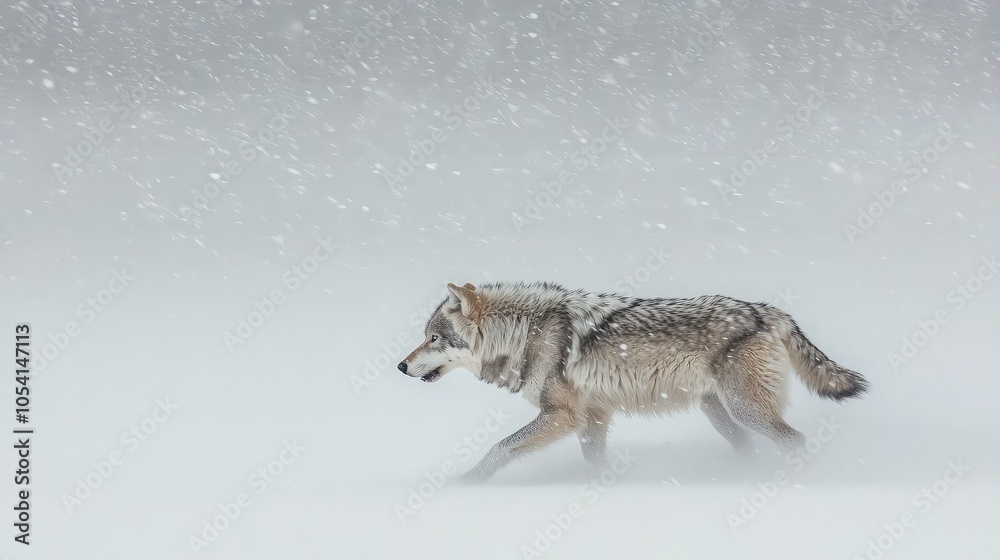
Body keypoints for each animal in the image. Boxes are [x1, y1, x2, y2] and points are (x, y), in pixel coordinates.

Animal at [398, 282, 868, 481]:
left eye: (433, 338)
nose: (401, 367)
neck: (523, 335)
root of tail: (768, 311)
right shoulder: (593, 417)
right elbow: (595, 463)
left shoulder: (564, 416)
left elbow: (498, 448)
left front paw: (465, 486)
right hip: (722, 414)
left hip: (745, 410)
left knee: (795, 441)